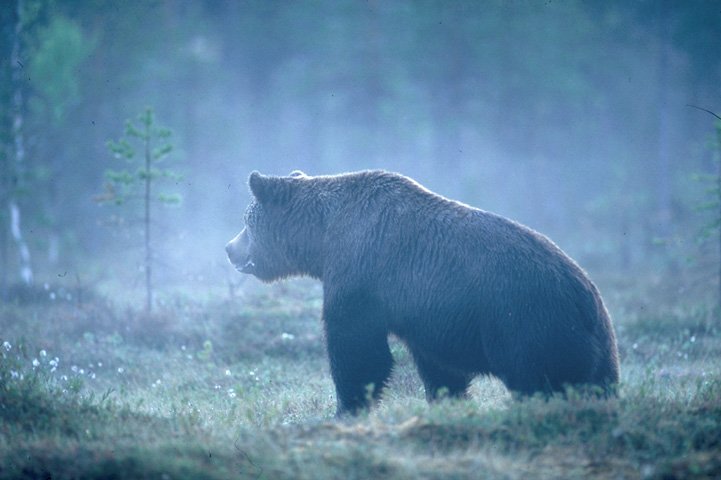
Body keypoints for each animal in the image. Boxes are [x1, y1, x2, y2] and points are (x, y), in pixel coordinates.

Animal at [225, 171, 620, 414]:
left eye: (246, 221)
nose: (230, 249)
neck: (322, 240)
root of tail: (585, 294)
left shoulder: (361, 273)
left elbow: (357, 349)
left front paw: (346, 408)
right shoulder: (430, 318)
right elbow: (440, 369)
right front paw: (448, 401)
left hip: (527, 324)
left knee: (539, 380)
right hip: (598, 343)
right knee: (599, 381)